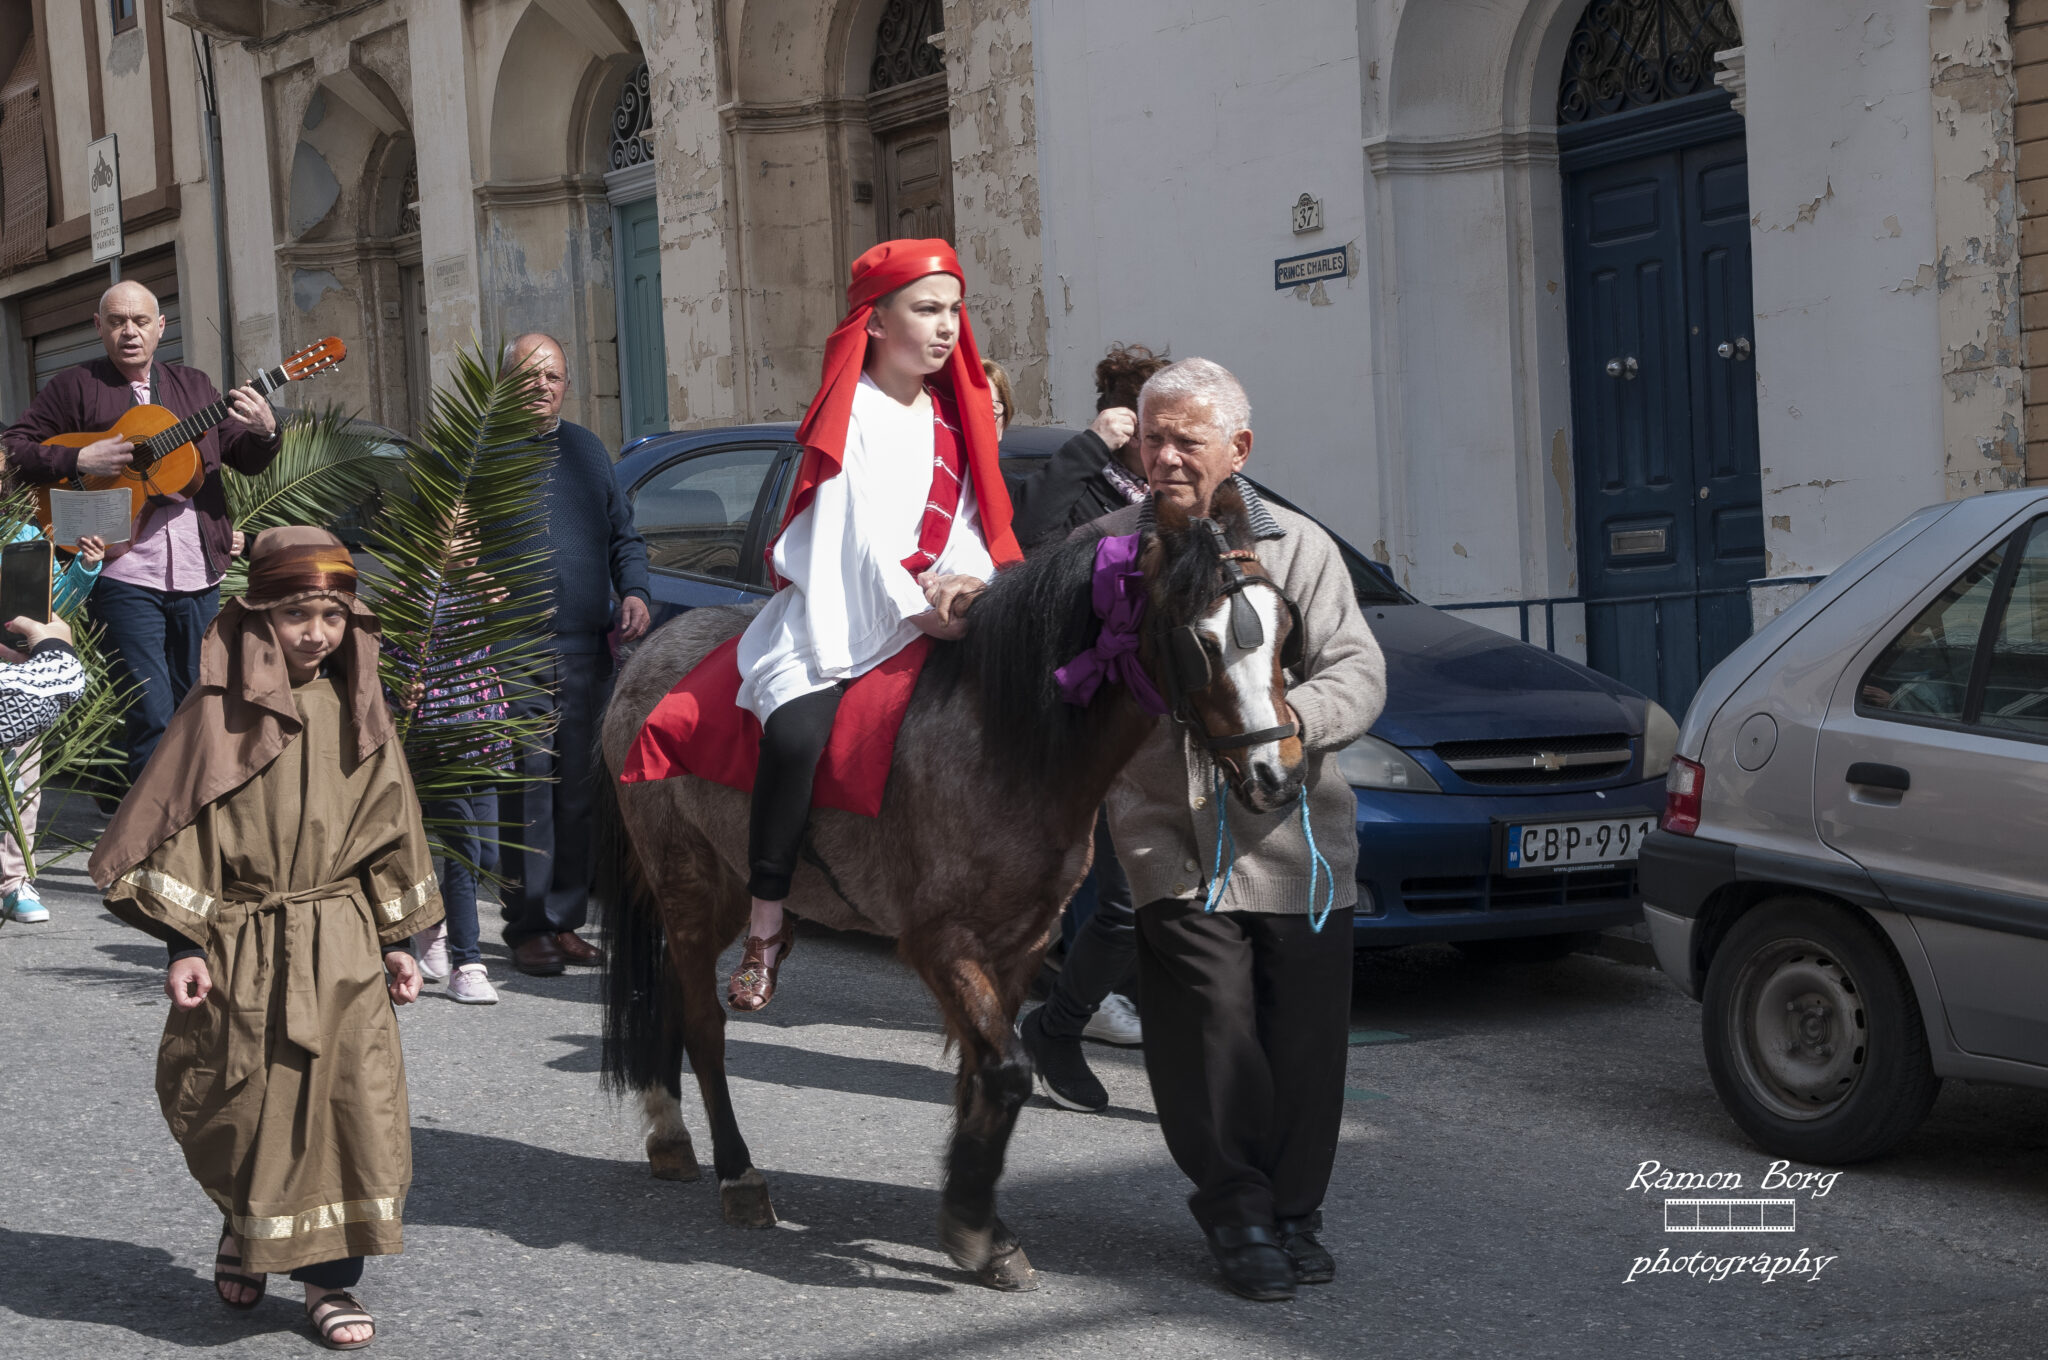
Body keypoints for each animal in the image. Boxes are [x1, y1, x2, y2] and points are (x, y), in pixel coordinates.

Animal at [595, 482, 1306, 1291]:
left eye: (1285, 633)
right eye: (1203, 642)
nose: (1278, 776)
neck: (1011, 740)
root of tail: (646, 655)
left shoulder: (1020, 945)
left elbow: (981, 1074)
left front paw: (978, 1220)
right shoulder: (940, 943)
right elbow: (1007, 1072)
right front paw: (973, 1226)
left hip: (724, 892)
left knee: (671, 998)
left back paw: (669, 1132)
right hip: (688, 887)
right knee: (703, 1023)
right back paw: (737, 1173)